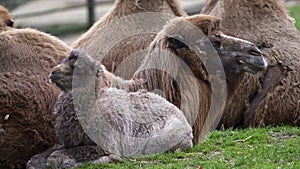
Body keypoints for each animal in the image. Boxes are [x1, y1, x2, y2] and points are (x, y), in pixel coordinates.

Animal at [27, 48, 192, 168]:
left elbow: (55, 158)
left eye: (80, 66)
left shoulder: (105, 144)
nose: (53, 72)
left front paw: (111, 159)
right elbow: (38, 158)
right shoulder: (70, 143)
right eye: (65, 59)